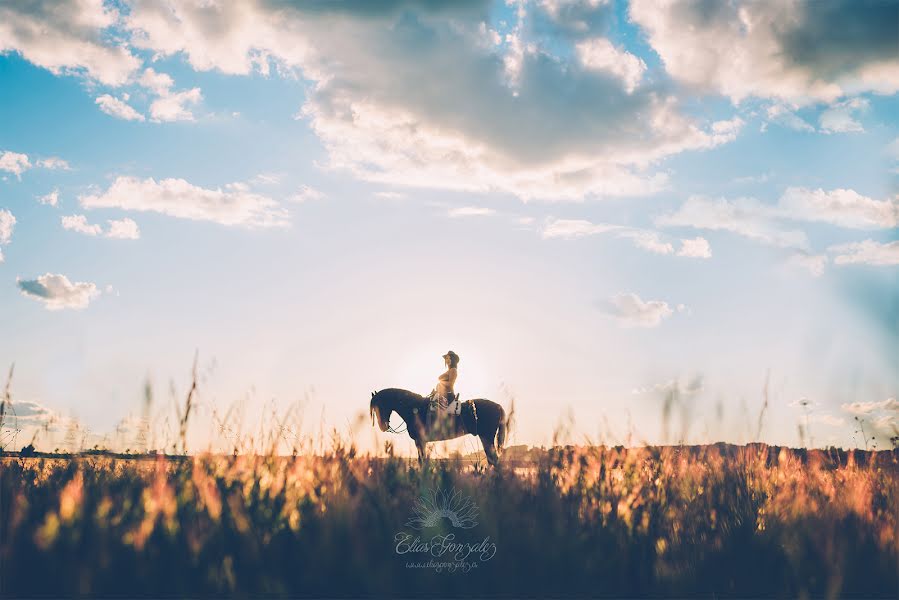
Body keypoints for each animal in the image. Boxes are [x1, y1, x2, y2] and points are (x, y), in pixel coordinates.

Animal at [368, 390, 506, 468]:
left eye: (380, 405)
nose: (383, 426)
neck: (415, 408)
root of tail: (498, 406)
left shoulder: (420, 441)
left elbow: (422, 462)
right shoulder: (420, 442)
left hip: (486, 438)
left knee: (494, 460)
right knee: (492, 461)